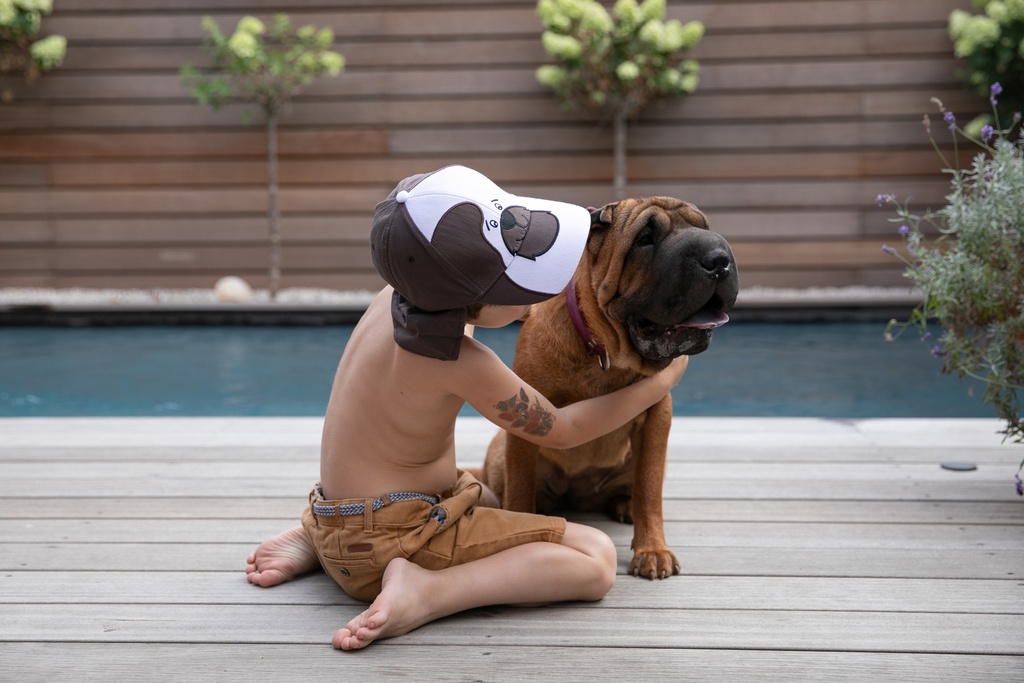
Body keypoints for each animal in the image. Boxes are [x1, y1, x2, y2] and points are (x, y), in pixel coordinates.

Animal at [479, 197, 737, 581]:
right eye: (645, 239)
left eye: (703, 227)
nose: (719, 259)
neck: (603, 348)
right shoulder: (526, 418)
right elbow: (521, 488)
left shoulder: (656, 416)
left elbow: (649, 489)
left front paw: (652, 549)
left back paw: (624, 506)